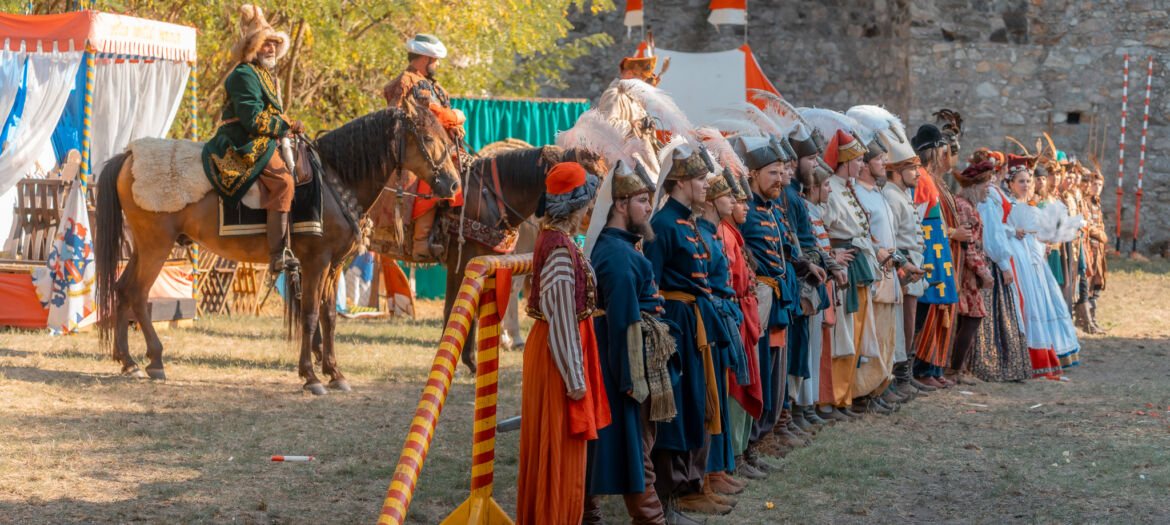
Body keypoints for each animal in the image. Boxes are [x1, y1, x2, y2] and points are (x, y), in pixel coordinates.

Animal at [95, 105, 460, 392]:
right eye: (428, 139)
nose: (454, 184)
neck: (335, 180)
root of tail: (129, 156)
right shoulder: (315, 263)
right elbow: (310, 316)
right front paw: (311, 376)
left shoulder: (333, 268)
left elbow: (329, 316)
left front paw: (335, 372)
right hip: (157, 246)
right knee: (138, 293)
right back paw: (155, 359)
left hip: (143, 247)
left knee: (122, 289)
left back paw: (128, 361)